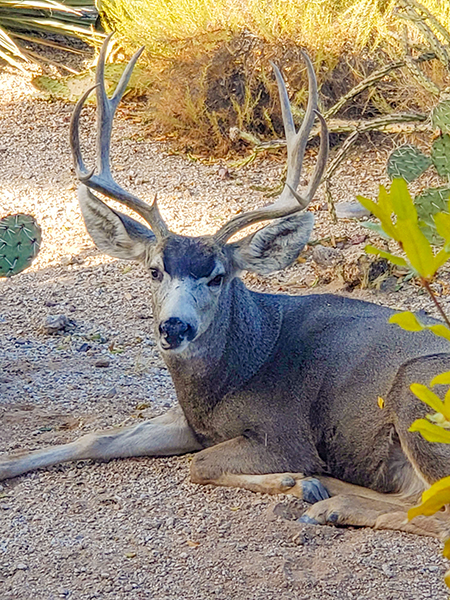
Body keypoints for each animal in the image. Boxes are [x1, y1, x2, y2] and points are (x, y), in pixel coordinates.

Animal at [0, 34, 450, 540]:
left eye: (218, 277)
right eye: (154, 270)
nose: (174, 327)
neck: (235, 370)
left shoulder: (285, 432)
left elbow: (199, 464)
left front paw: (293, 480)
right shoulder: (189, 420)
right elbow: (95, 438)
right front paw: (5, 464)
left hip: (415, 389)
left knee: (436, 513)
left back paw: (326, 503)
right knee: (417, 498)